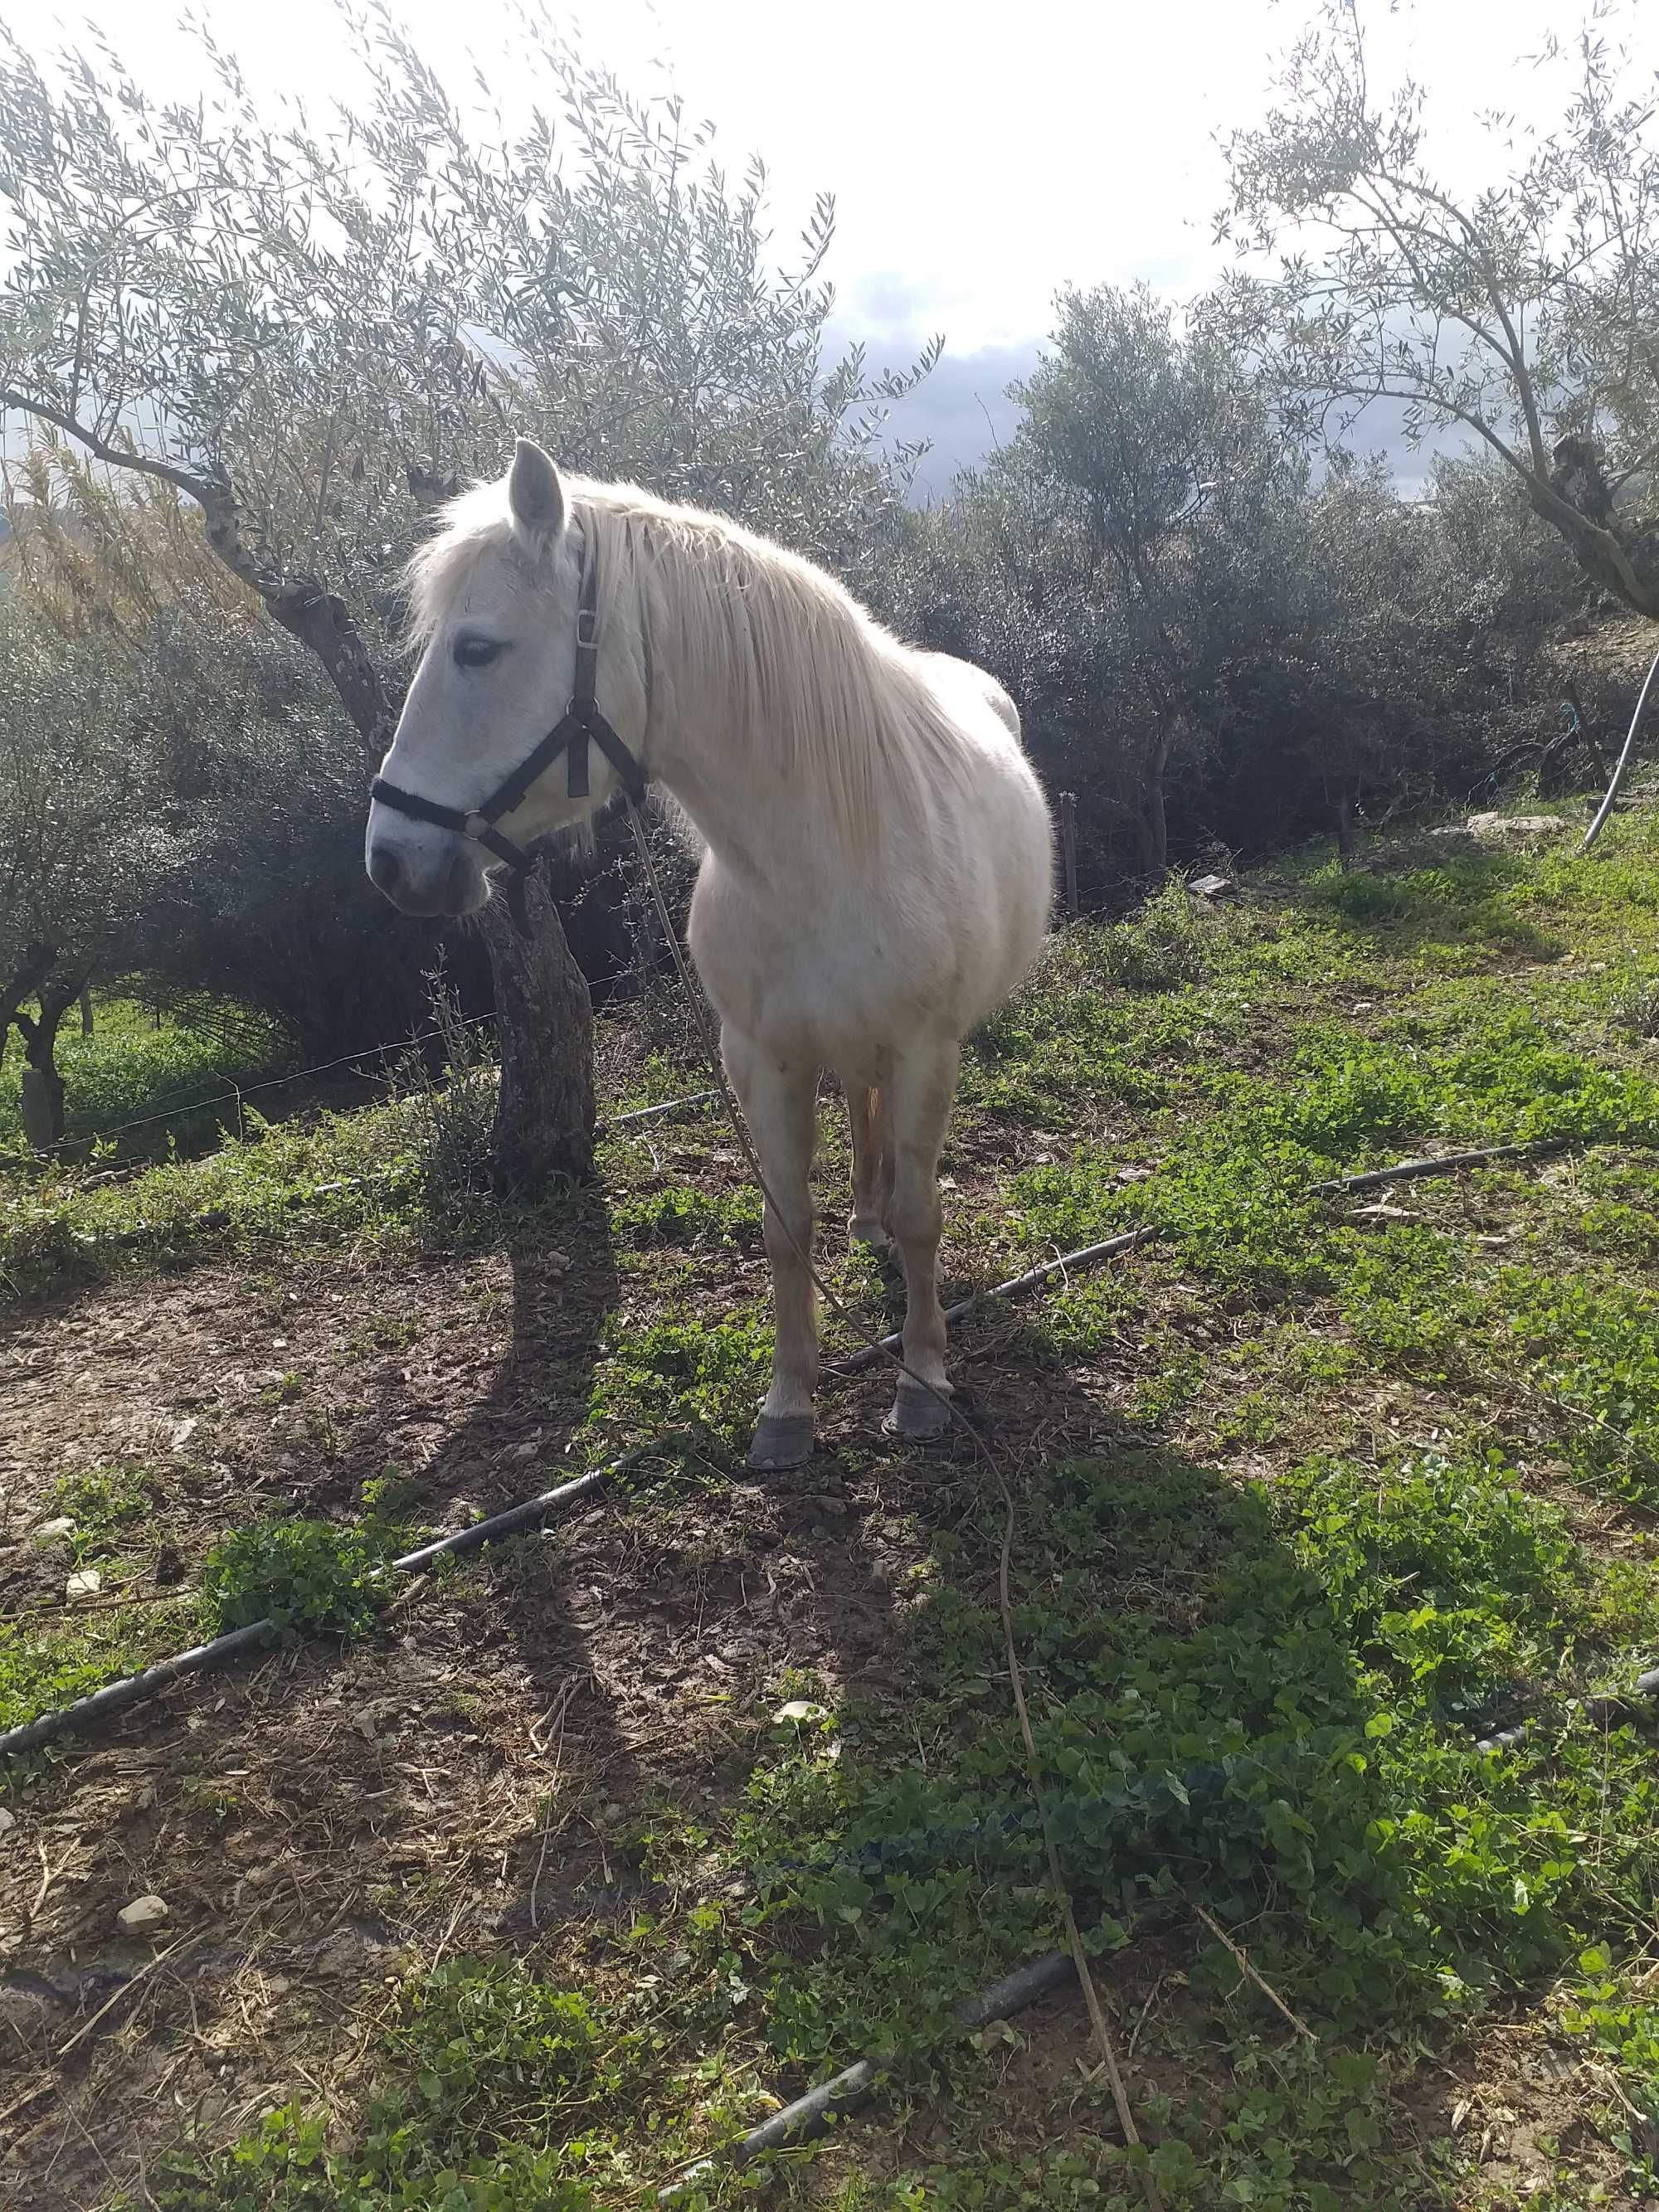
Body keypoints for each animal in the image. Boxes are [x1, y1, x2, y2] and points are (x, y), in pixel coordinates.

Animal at [372, 440, 1057, 1468]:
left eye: (477, 648)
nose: (389, 860)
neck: (827, 854)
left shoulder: (925, 1051)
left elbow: (922, 1214)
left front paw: (922, 1381)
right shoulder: (760, 1058)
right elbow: (785, 1227)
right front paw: (788, 1407)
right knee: (857, 1115)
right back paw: (862, 1219)